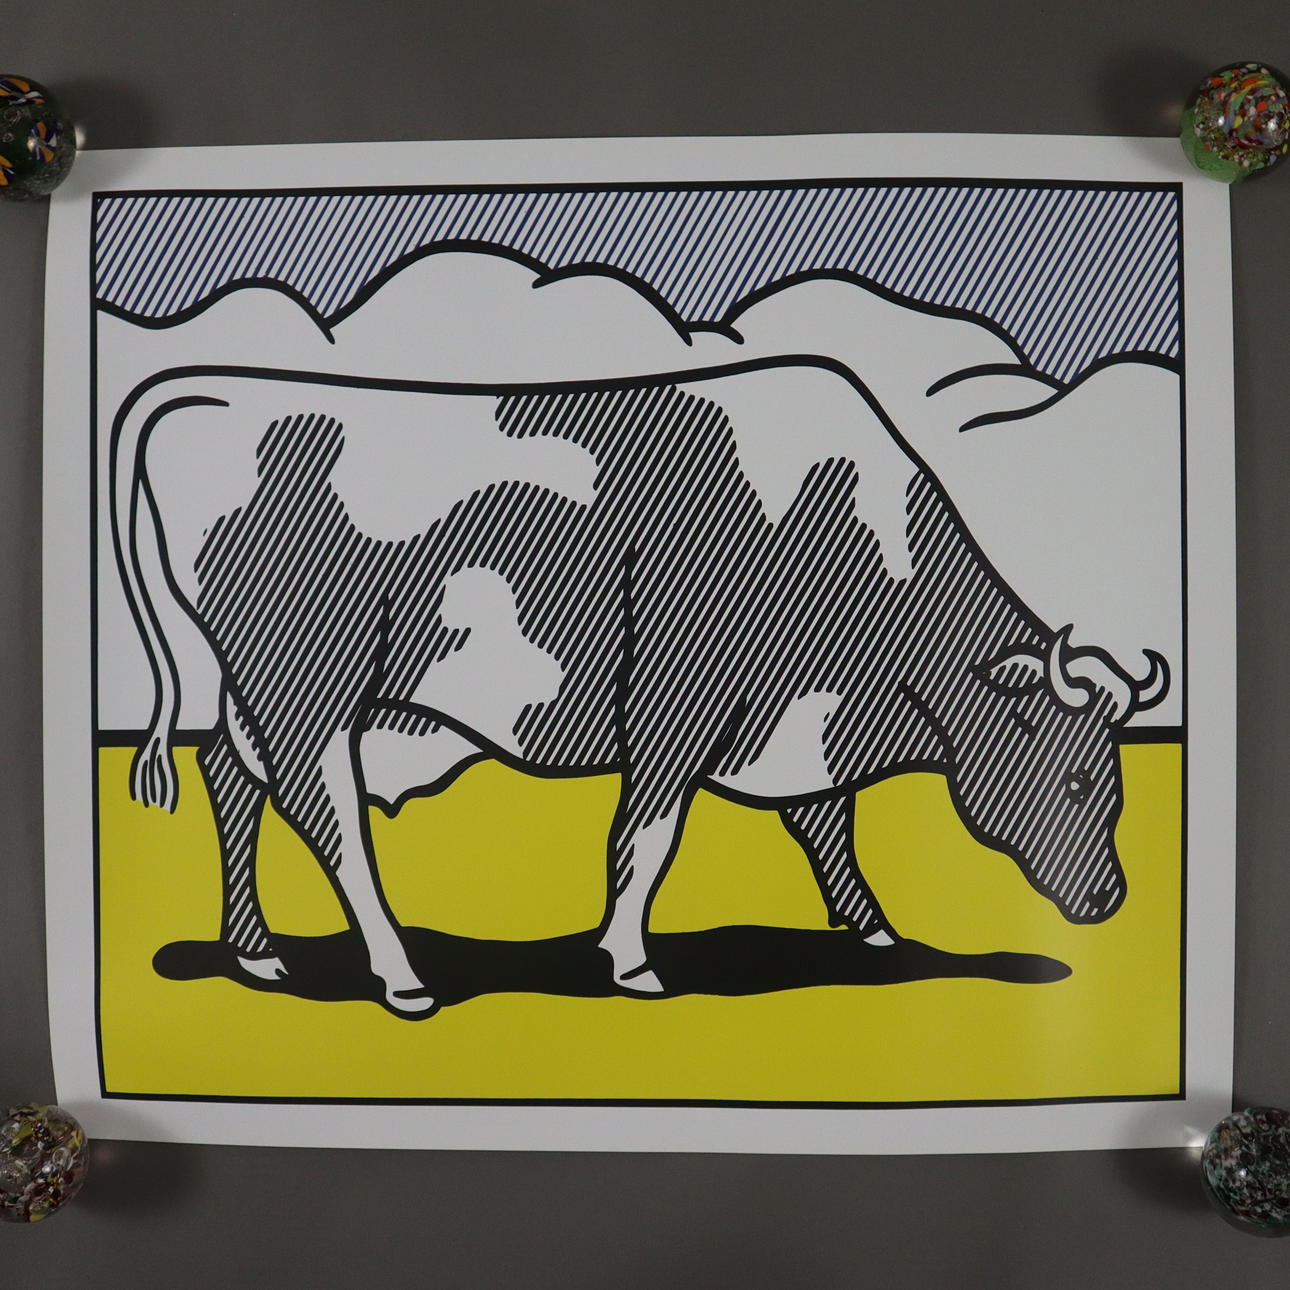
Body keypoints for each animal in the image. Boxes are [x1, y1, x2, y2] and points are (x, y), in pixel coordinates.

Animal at [110, 357, 1168, 1017]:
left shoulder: (795, 723)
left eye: (1117, 782)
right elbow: (649, 834)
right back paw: (402, 975)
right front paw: (629, 960)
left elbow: (828, 823)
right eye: (1077, 779)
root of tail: (213, 396)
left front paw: (872, 929)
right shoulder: (676, 698)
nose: (1111, 899)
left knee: (233, 781)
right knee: (327, 816)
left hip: (243, 688)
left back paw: (255, 949)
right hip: (310, 684)